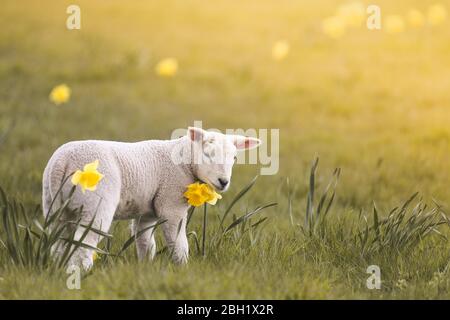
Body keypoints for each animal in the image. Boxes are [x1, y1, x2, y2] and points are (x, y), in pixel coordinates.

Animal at [43, 126, 260, 268]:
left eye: (234, 158)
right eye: (207, 154)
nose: (223, 181)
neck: (183, 161)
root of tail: (62, 162)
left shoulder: (146, 212)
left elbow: (146, 243)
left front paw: (146, 267)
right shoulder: (171, 203)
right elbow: (178, 242)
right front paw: (183, 267)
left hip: (54, 204)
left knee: (58, 240)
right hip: (95, 201)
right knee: (84, 241)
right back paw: (83, 271)